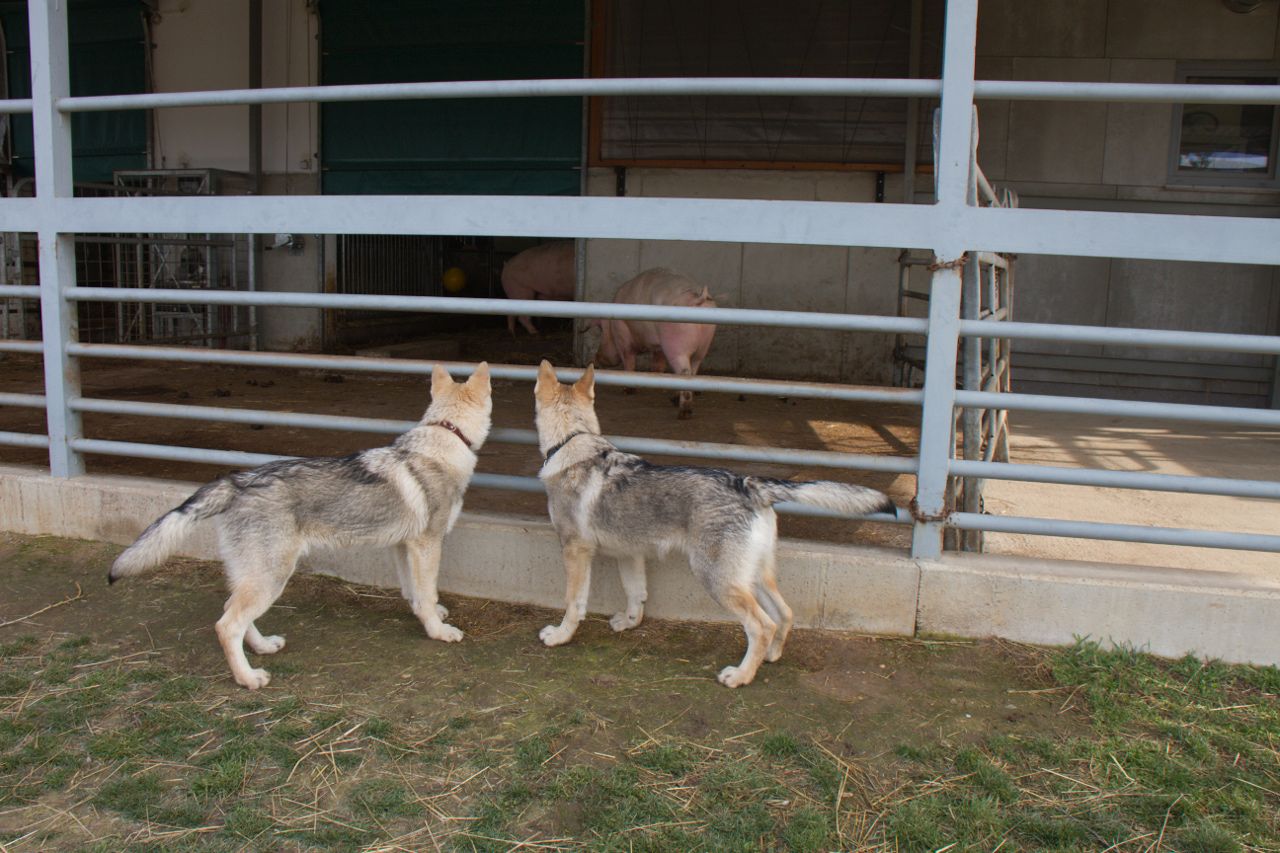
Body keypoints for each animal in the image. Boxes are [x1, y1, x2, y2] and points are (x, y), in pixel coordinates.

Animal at [591, 266, 716, 417]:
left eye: (601, 332)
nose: (594, 360)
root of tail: (699, 297)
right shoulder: (659, 346)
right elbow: (658, 364)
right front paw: (655, 375)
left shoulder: (622, 335)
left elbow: (629, 361)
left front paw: (627, 390)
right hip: (703, 346)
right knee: (694, 368)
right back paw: (675, 401)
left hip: (676, 345)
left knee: (684, 372)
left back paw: (683, 412)